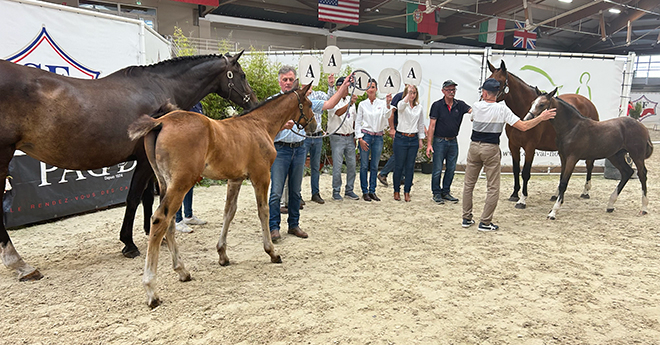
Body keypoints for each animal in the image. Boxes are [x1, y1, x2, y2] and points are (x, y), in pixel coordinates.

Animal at [0, 53, 256, 280]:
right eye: (241, 74)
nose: (253, 100)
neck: (158, 86)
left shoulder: (150, 165)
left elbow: (148, 198)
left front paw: (153, 234)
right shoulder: (143, 162)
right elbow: (134, 198)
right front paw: (129, 243)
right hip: (4, 154)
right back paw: (20, 264)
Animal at [128, 83, 318, 306]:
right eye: (309, 104)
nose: (315, 127)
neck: (260, 125)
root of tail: (160, 122)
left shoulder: (235, 179)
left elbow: (229, 212)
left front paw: (222, 255)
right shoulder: (261, 176)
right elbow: (263, 211)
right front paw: (272, 252)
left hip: (165, 184)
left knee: (169, 223)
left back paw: (182, 271)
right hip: (181, 184)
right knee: (160, 219)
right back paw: (151, 290)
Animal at [484, 60, 604, 208]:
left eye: (499, 83)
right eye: (487, 79)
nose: (484, 97)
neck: (522, 113)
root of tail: (587, 102)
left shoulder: (530, 147)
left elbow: (525, 173)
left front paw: (522, 200)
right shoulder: (514, 145)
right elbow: (516, 170)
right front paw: (514, 194)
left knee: (589, 164)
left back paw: (585, 191)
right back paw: (556, 194)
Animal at [524, 88, 656, 218]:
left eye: (541, 104)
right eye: (532, 103)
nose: (527, 119)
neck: (571, 128)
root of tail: (642, 127)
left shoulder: (572, 158)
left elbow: (564, 183)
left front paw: (553, 212)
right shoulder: (563, 157)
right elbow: (561, 180)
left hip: (637, 156)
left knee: (642, 174)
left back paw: (644, 208)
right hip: (615, 156)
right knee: (627, 172)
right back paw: (610, 205)